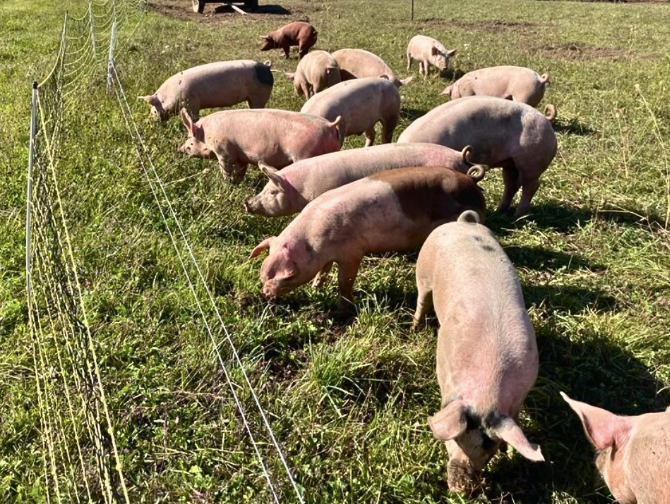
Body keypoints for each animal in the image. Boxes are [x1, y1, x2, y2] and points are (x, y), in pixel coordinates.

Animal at [139, 60, 273, 122]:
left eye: (154, 110)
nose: (148, 122)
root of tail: (267, 67)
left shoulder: (191, 103)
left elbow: (193, 118)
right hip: (250, 97)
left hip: (260, 95)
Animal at [178, 108, 341, 181]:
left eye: (190, 138)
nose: (179, 148)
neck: (207, 135)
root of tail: (329, 126)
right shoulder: (241, 156)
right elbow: (241, 171)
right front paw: (238, 184)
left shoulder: (224, 152)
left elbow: (226, 170)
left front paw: (226, 183)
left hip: (304, 154)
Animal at [249, 167, 486, 311]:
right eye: (262, 274)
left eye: (287, 276)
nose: (264, 294)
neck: (313, 244)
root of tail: (470, 179)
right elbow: (323, 270)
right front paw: (317, 287)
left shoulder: (352, 252)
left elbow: (345, 280)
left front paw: (345, 308)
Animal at [398, 96, 557, 217]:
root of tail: (546, 121)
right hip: (510, 162)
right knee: (511, 184)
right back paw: (499, 211)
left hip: (531, 160)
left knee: (531, 185)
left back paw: (517, 217)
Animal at [413, 210, 543, 492]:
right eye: (454, 440)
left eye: (489, 447)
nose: (460, 487)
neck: (486, 392)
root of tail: (463, 223)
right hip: (423, 270)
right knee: (421, 299)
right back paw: (415, 327)